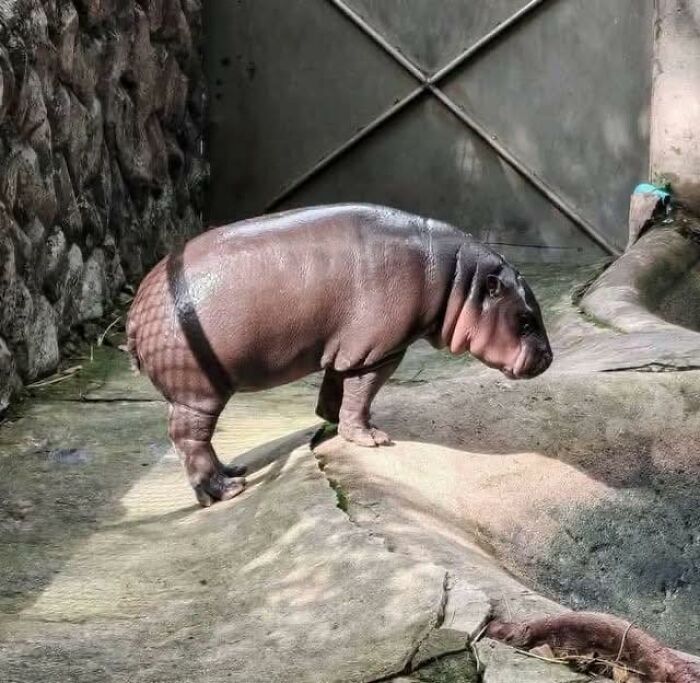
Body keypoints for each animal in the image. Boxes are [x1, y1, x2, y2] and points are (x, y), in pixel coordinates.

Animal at [127, 204, 552, 507]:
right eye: (526, 319)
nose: (549, 358)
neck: (459, 281)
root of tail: (135, 309)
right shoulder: (380, 351)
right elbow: (362, 393)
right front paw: (373, 439)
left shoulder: (348, 347)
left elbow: (337, 387)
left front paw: (331, 422)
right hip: (198, 392)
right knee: (189, 438)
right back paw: (226, 490)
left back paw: (235, 470)